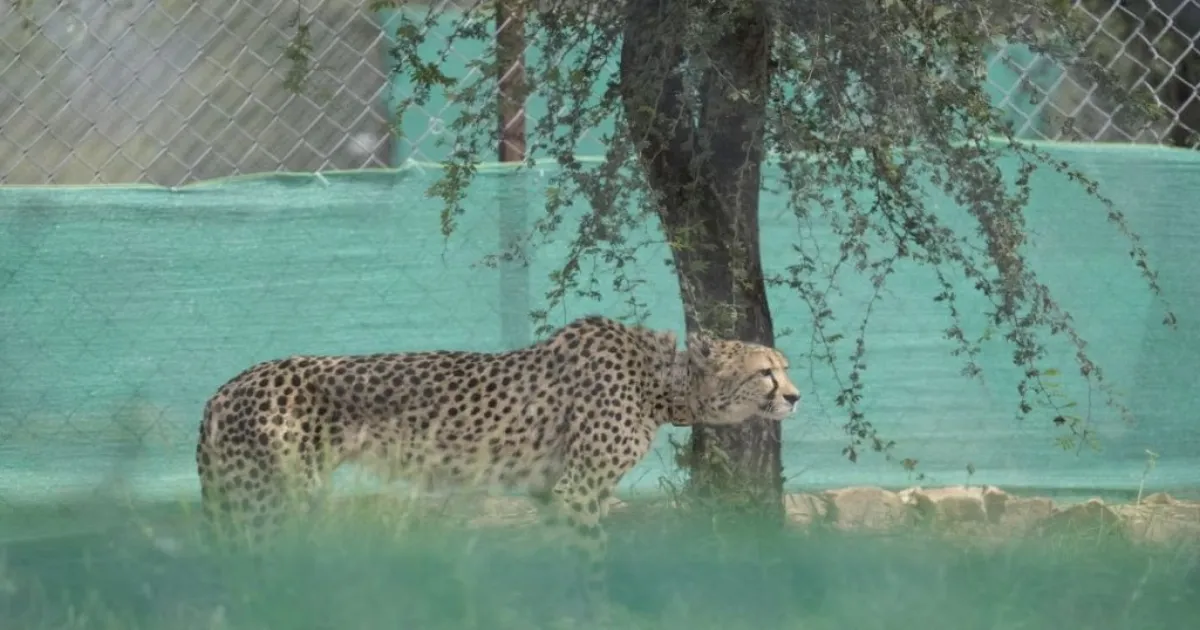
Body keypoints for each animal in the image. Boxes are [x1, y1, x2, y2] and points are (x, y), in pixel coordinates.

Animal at [196, 314, 800, 596]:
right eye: (765, 372)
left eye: (784, 368)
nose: (794, 397)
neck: (661, 382)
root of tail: (226, 386)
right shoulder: (578, 489)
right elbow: (593, 567)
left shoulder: (551, 493)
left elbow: (571, 563)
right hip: (271, 503)